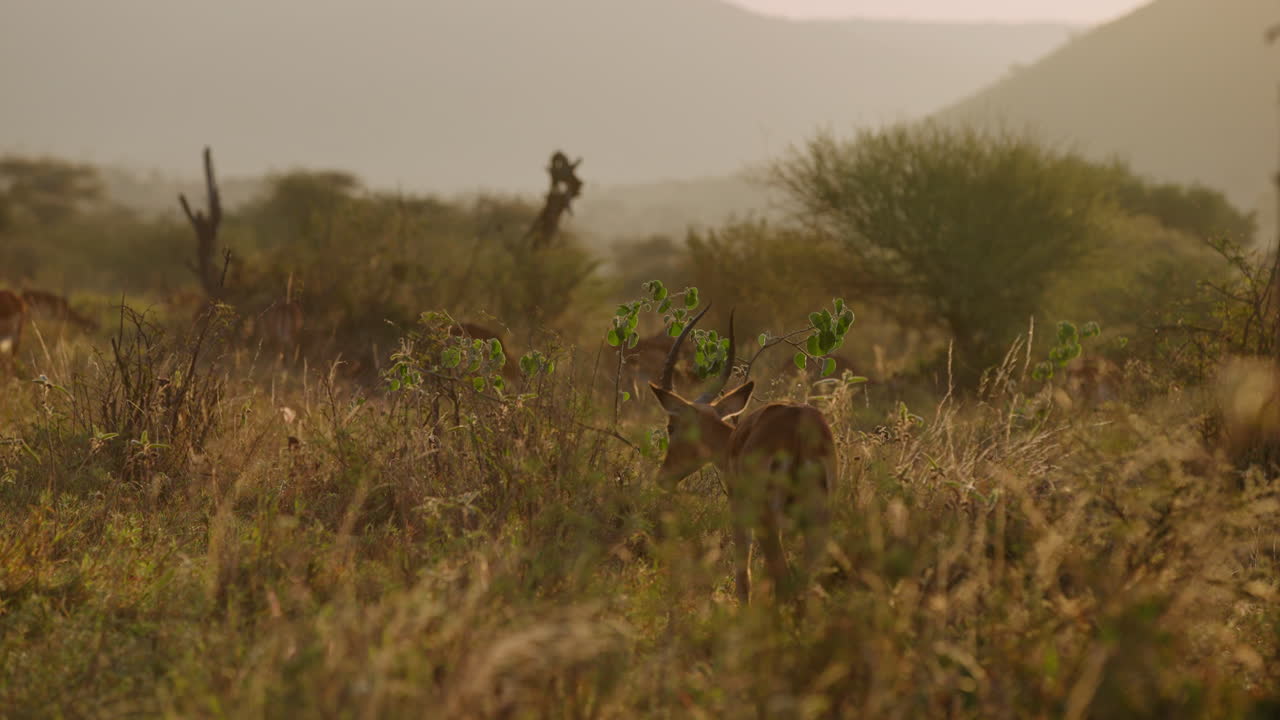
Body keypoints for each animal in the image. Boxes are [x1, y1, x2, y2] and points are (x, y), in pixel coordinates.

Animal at [649, 306, 836, 604]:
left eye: (671, 426)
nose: (663, 477)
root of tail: (798, 425)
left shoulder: (738, 509)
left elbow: (743, 574)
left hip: (767, 517)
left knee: (782, 578)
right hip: (817, 518)